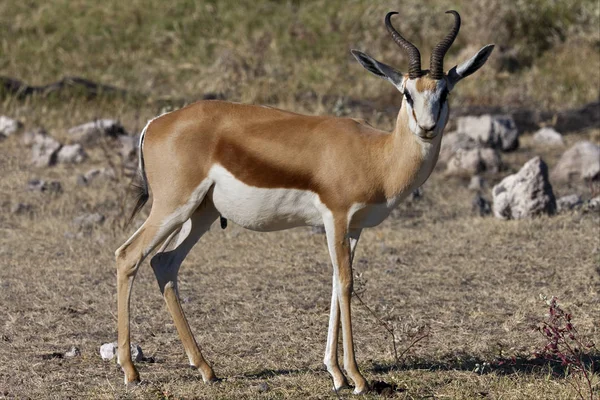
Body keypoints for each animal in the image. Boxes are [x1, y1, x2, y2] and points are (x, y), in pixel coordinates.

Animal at [115, 10, 494, 394]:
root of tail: (156, 123)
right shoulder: (335, 217)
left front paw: (336, 374)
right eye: (406, 93)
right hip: (172, 207)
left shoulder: (353, 228)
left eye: (444, 92)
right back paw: (131, 370)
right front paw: (357, 378)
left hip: (200, 214)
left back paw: (206, 368)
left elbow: (335, 283)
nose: (427, 128)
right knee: (128, 256)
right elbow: (346, 284)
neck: (376, 155)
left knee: (164, 263)